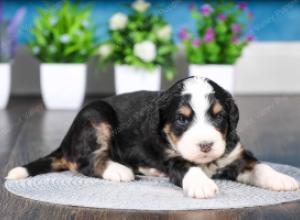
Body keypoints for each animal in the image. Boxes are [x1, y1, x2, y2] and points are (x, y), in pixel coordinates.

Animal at [6, 76, 298, 199]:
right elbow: (189, 168)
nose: (205, 145)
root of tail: (65, 142)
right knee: (86, 162)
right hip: (95, 113)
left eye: (219, 117)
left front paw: (283, 179)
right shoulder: (172, 159)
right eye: (181, 119)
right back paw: (119, 170)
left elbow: (259, 166)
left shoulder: (235, 154)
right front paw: (202, 185)